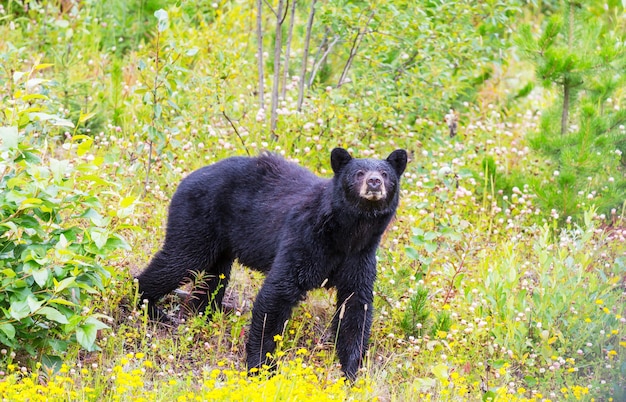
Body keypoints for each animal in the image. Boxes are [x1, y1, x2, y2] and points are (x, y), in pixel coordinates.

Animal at [136, 146, 408, 378]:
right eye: (358, 173)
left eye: (386, 173)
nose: (374, 182)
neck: (348, 233)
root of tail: (187, 177)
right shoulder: (304, 239)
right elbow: (278, 293)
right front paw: (261, 367)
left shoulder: (359, 257)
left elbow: (356, 307)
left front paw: (351, 371)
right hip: (197, 219)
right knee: (178, 260)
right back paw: (149, 306)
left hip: (220, 242)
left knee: (214, 277)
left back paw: (204, 312)